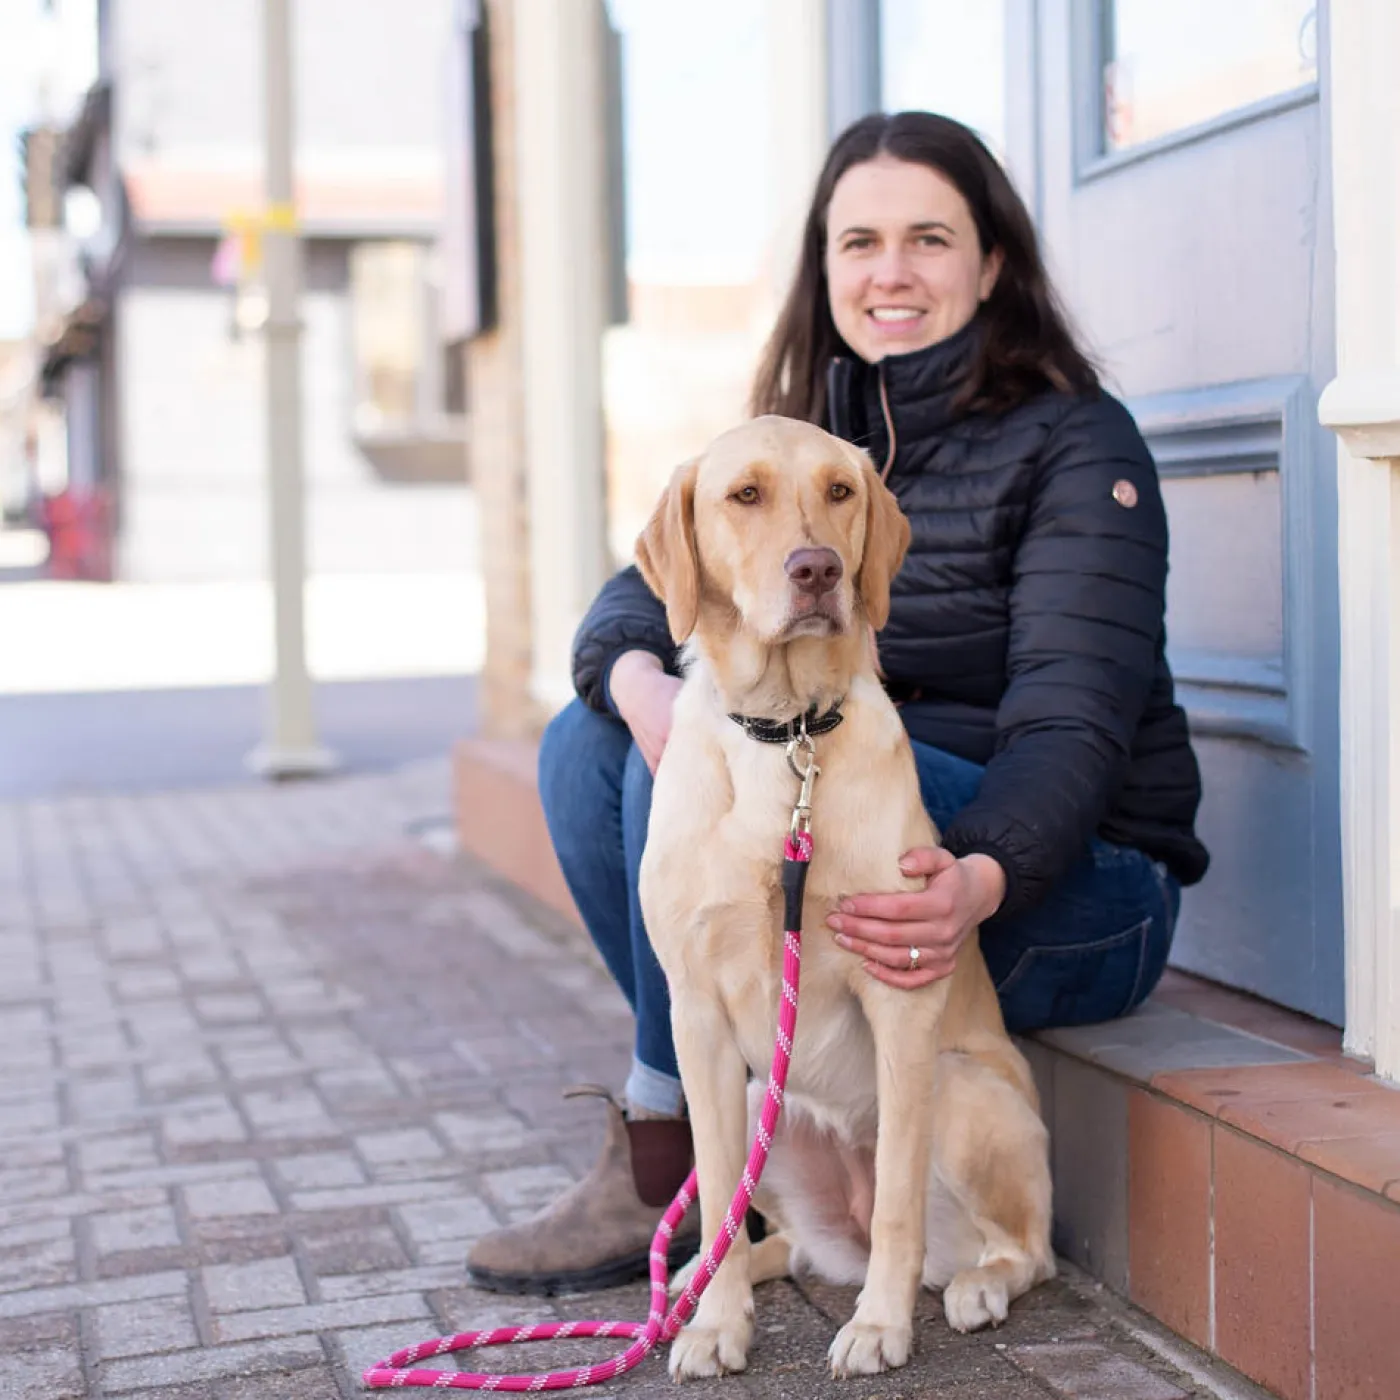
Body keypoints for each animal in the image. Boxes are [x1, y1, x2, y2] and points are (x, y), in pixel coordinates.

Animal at [634, 416, 1054, 1381]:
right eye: (744, 495)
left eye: (839, 491)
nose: (818, 569)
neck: (785, 733)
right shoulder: (696, 1015)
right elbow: (721, 1189)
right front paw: (718, 1325)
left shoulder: (900, 995)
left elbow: (897, 1191)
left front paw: (879, 1327)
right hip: (766, 1097)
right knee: (774, 1239)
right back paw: (695, 1285)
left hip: (960, 1087)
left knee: (1024, 1249)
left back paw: (971, 1286)